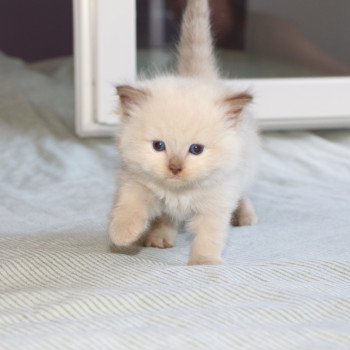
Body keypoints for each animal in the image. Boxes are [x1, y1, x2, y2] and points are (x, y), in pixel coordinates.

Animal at [109, 0, 260, 266]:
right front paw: (122, 233)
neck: (178, 193)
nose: (175, 168)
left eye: (196, 149)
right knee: (166, 218)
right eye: (158, 146)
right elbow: (130, 206)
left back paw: (245, 217)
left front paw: (203, 263)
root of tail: (198, 76)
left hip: (246, 170)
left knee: (243, 195)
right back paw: (159, 239)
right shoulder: (136, 181)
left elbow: (209, 236)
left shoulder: (216, 201)